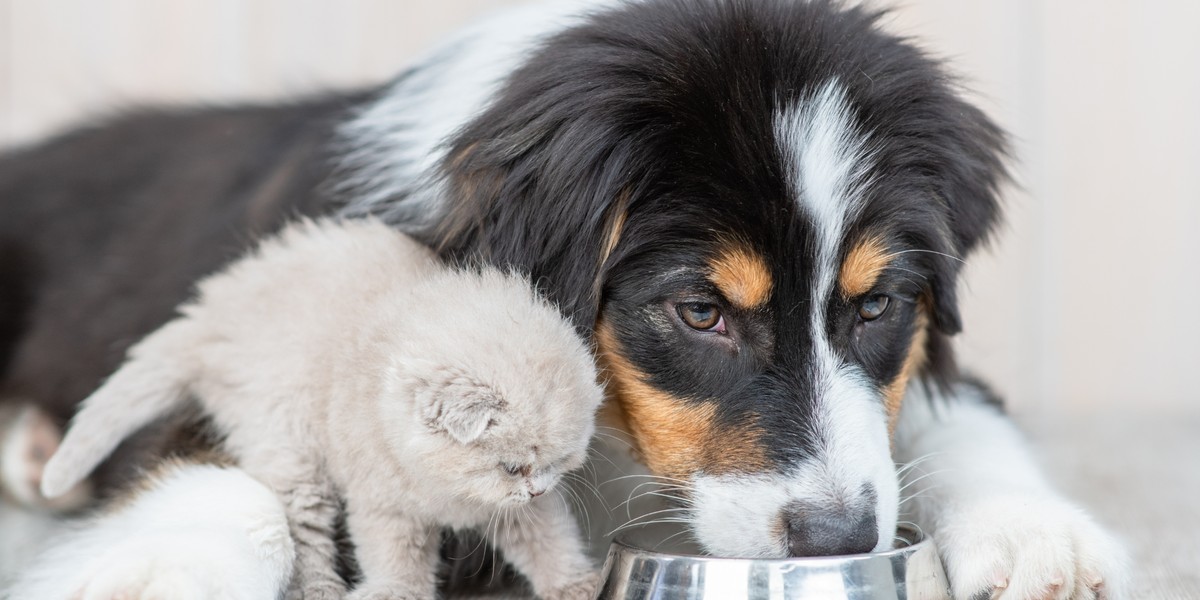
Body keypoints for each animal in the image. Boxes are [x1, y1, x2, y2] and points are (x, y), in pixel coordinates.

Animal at [42, 218, 604, 600]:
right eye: (511, 466)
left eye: (558, 467)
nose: (537, 487)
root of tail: (210, 315)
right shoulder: (383, 502)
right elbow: (394, 555)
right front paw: (396, 592)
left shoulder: (517, 512)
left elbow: (549, 541)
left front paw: (577, 584)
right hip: (287, 444)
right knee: (303, 531)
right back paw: (320, 589)